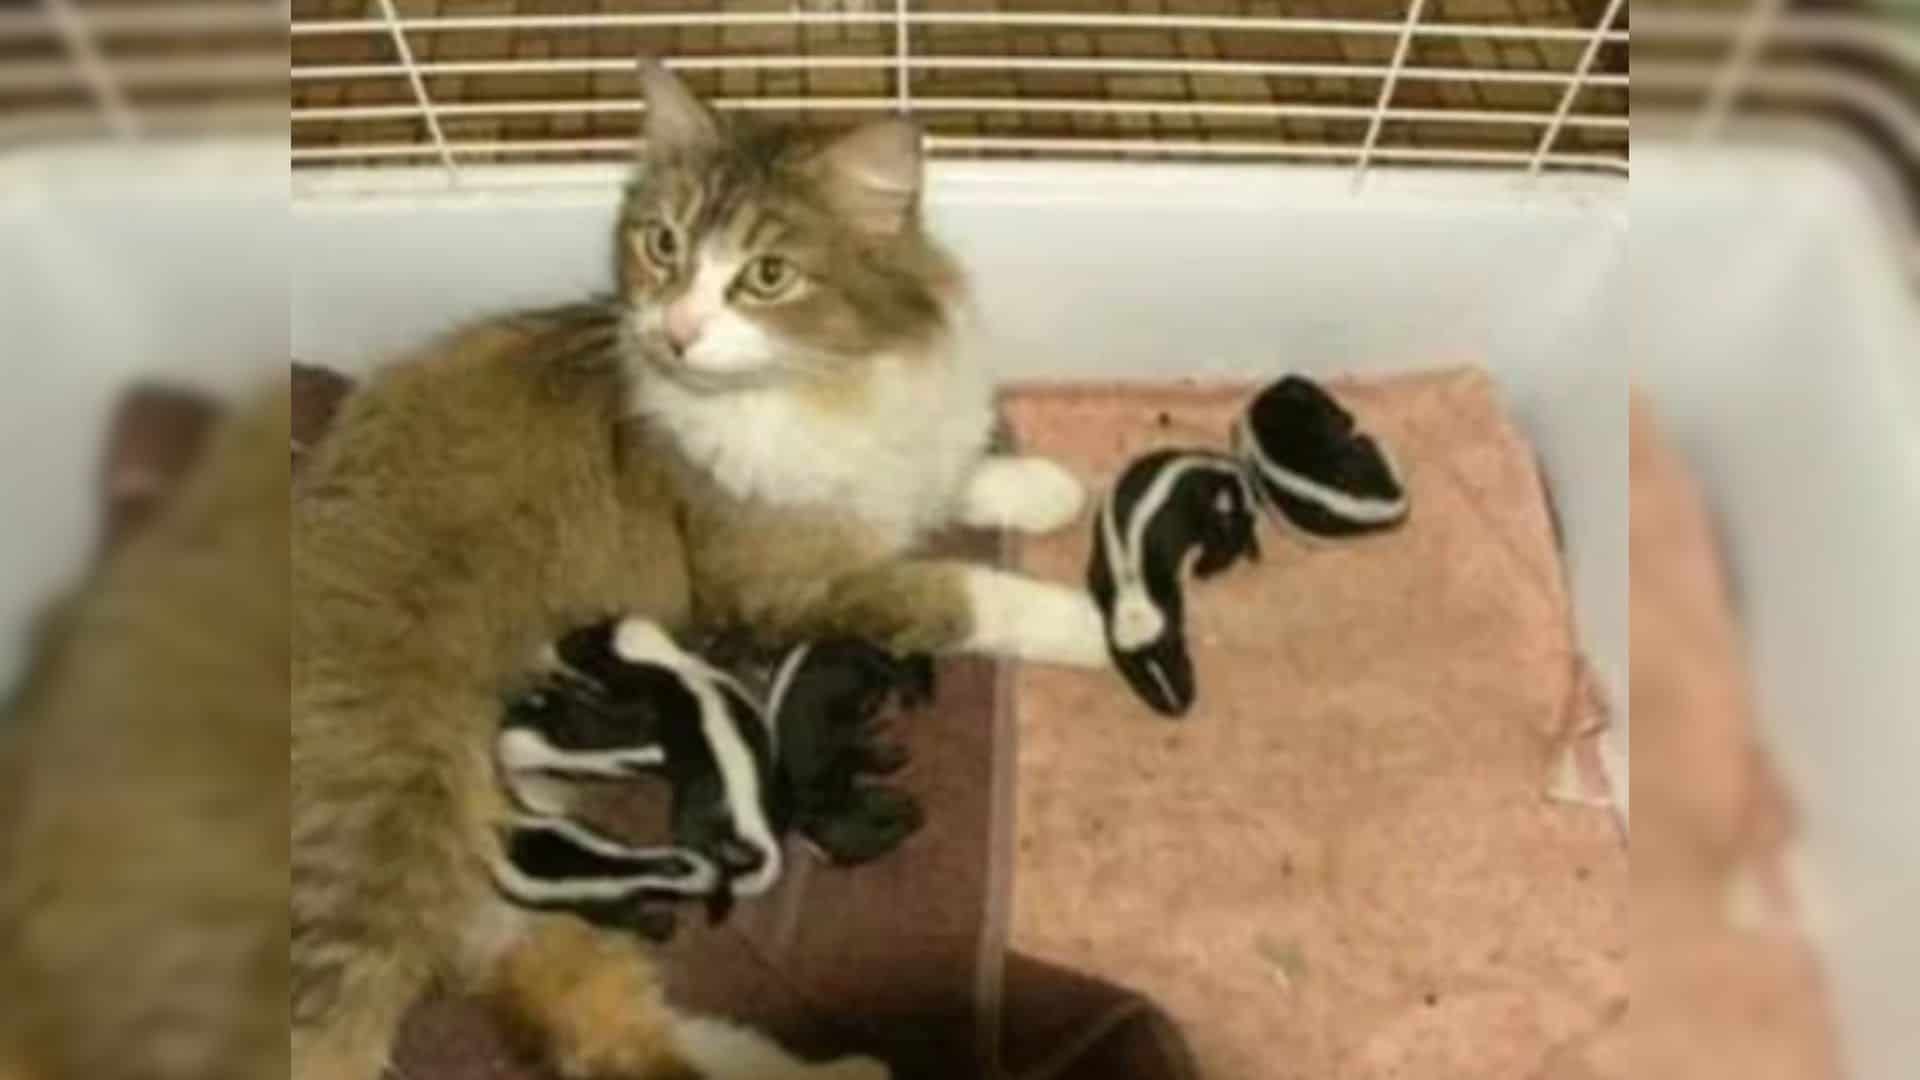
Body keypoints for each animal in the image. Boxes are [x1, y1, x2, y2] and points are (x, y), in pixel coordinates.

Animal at [293, 61, 1121, 1076]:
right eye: (664, 245)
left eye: (766, 275)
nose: (679, 330)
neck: (822, 387)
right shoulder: (789, 587)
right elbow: (967, 588)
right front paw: (1104, 623)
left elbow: (948, 479)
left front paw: (1039, 486)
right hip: (384, 836)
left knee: (623, 1037)